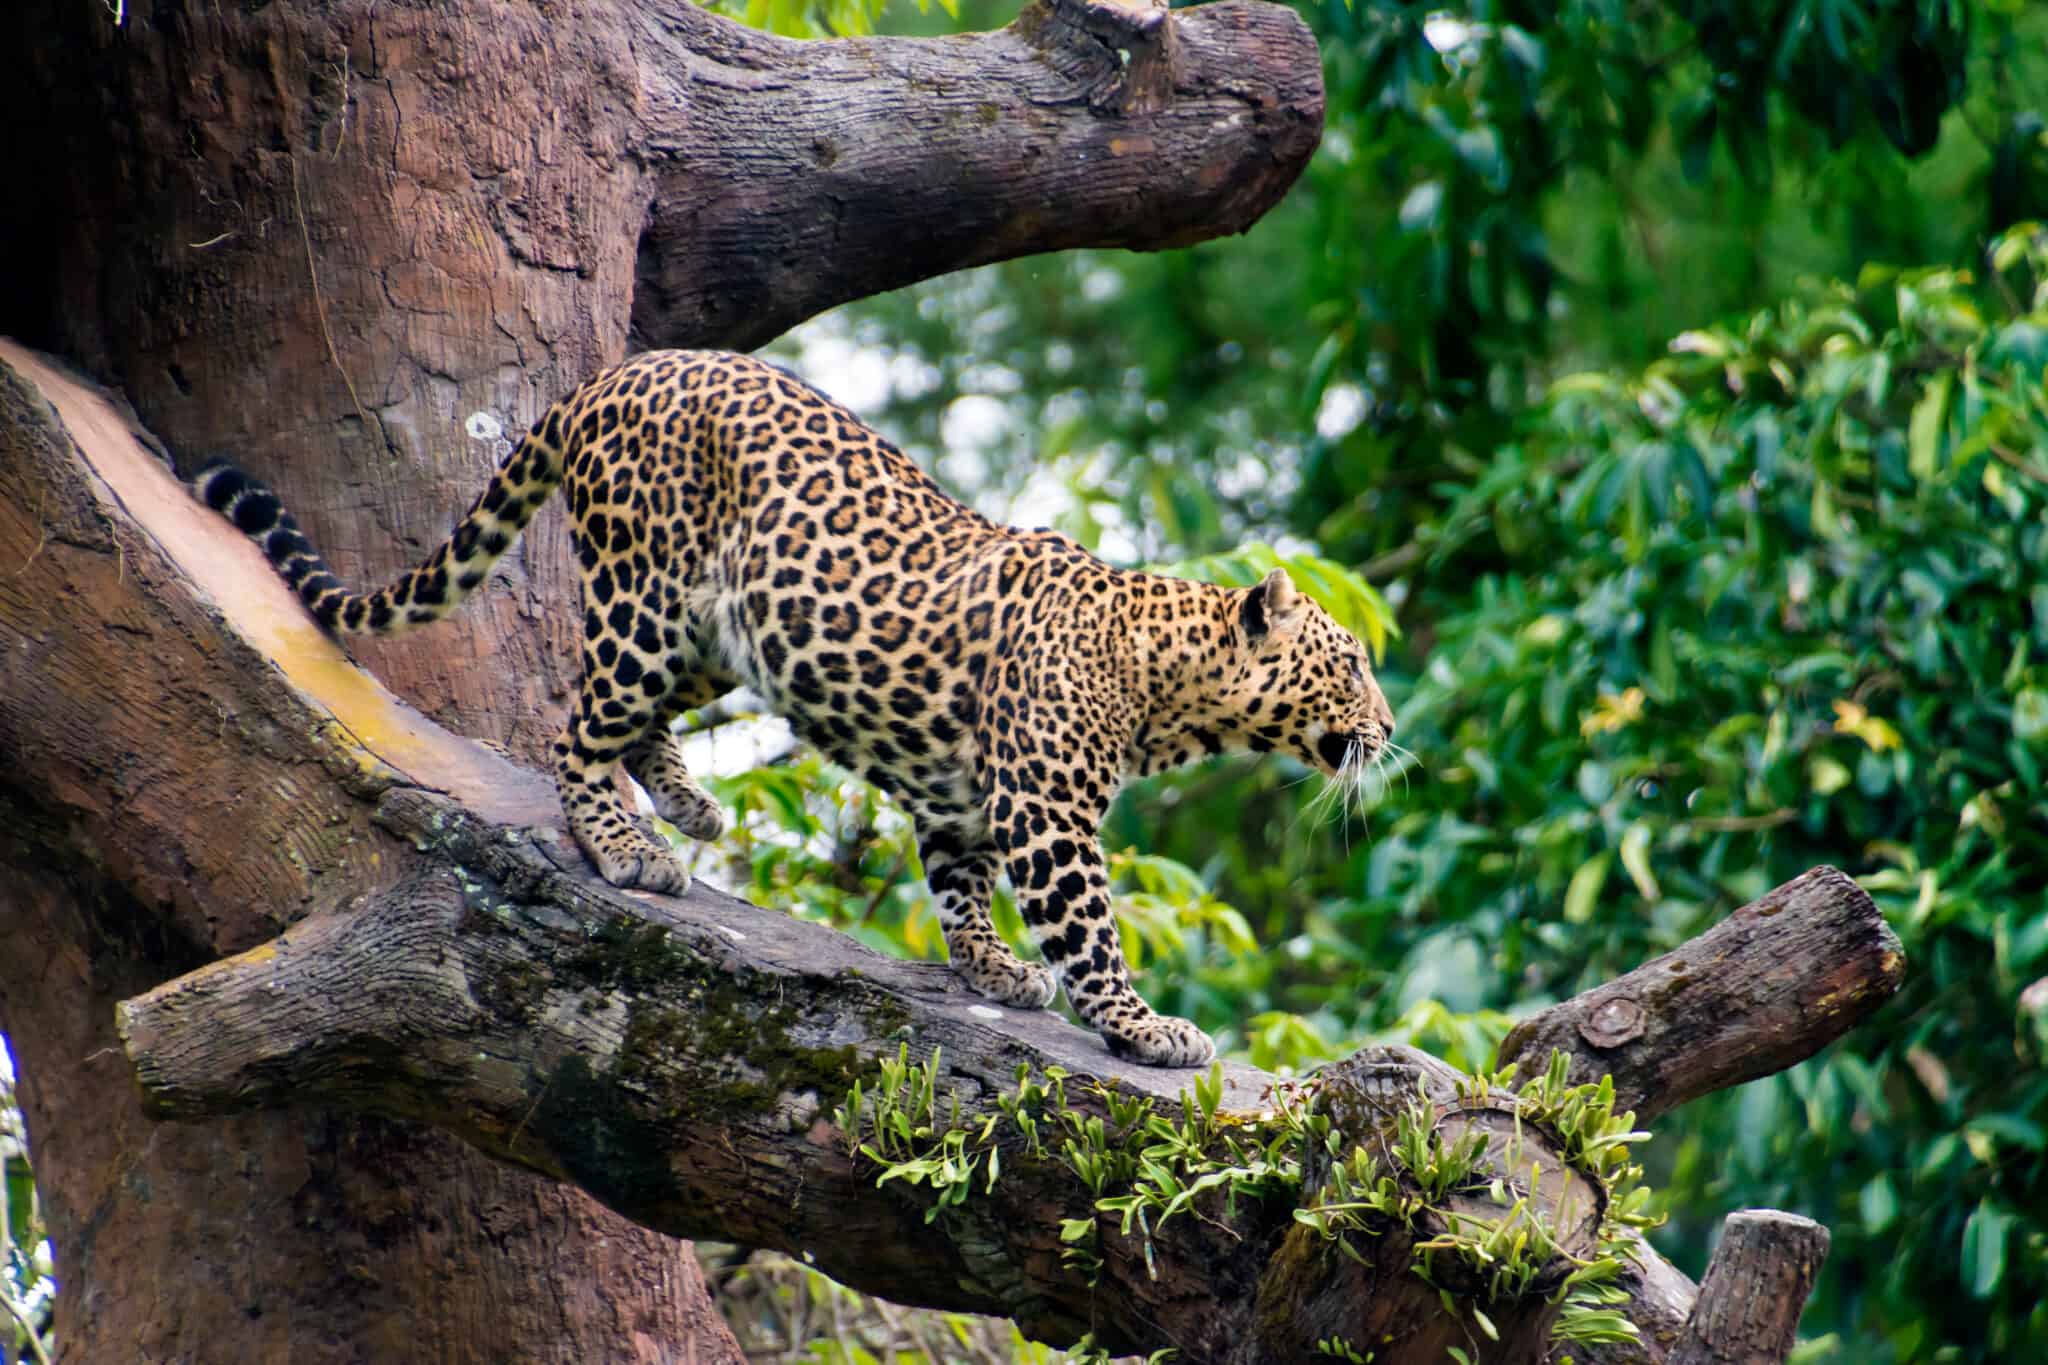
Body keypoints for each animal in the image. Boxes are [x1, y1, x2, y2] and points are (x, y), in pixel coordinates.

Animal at [195, 349, 1392, 1064]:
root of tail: (613, 374)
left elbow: (960, 890)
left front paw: (994, 970)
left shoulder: (963, 802)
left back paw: (688, 805)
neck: (1164, 686)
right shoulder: (1048, 819)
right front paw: (1147, 1029)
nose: (1388, 733)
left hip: (723, 632)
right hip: (645, 595)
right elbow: (1089, 932)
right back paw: (627, 846)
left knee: (641, 717)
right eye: (1350, 664)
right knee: (577, 728)